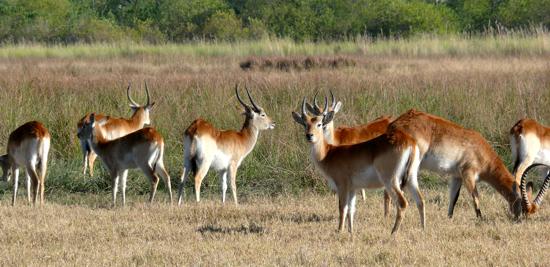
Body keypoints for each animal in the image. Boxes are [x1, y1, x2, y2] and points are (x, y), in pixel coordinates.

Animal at [294, 98, 426, 234]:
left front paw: (339, 231)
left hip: (391, 180)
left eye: (319, 124)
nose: (309, 136)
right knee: (420, 200)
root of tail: (409, 141)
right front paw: (350, 231)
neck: (328, 153)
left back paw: (393, 232)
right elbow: (351, 210)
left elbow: (342, 208)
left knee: (402, 203)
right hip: (411, 178)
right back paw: (423, 229)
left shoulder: (342, 186)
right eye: (305, 124)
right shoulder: (353, 188)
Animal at [388, 110, 528, 219]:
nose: (520, 217)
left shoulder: (457, 177)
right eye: (521, 201)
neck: (481, 151)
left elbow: (453, 199)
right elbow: (476, 197)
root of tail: (396, 123)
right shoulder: (468, 174)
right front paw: (480, 219)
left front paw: (449, 218)